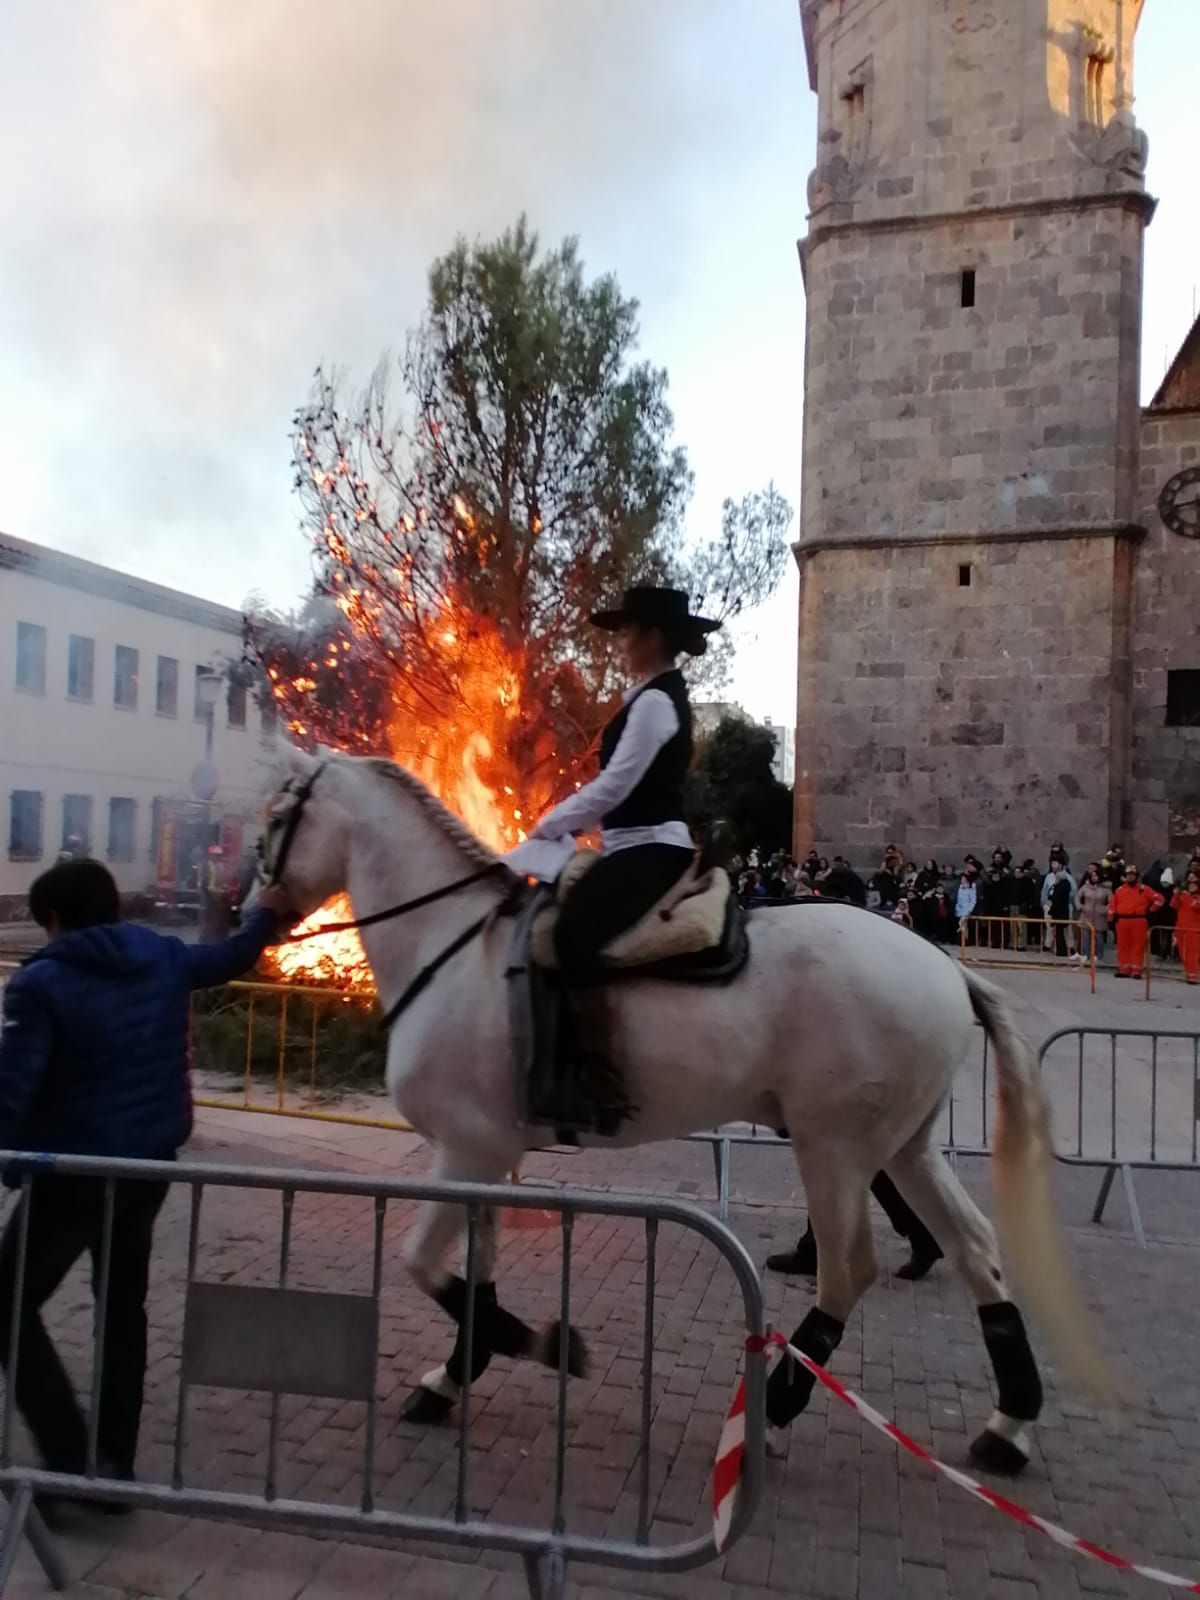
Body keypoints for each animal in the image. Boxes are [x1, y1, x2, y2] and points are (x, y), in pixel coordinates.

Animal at [259, 748, 1113, 1472]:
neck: (456, 948)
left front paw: (536, 1346)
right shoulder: (486, 1152)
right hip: (905, 1146)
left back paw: (776, 1410)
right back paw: (1007, 1425)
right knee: (974, 1250)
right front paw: (455, 1372)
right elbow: (472, 1272)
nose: (250, 913)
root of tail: (943, 964)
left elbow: (424, 1265)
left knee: (848, 1273)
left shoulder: (463, 1150)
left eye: (274, 817)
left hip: (834, 1149)